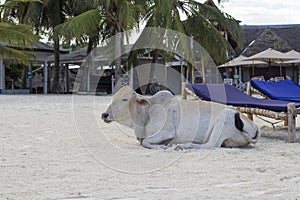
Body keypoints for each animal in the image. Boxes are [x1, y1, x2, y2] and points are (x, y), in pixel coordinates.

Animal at [101, 85, 260, 149]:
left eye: (124, 99)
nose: (104, 114)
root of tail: (254, 126)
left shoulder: (167, 131)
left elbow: (146, 142)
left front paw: (162, 147)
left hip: (223, 121)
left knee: (211, 145)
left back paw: (183, 145)